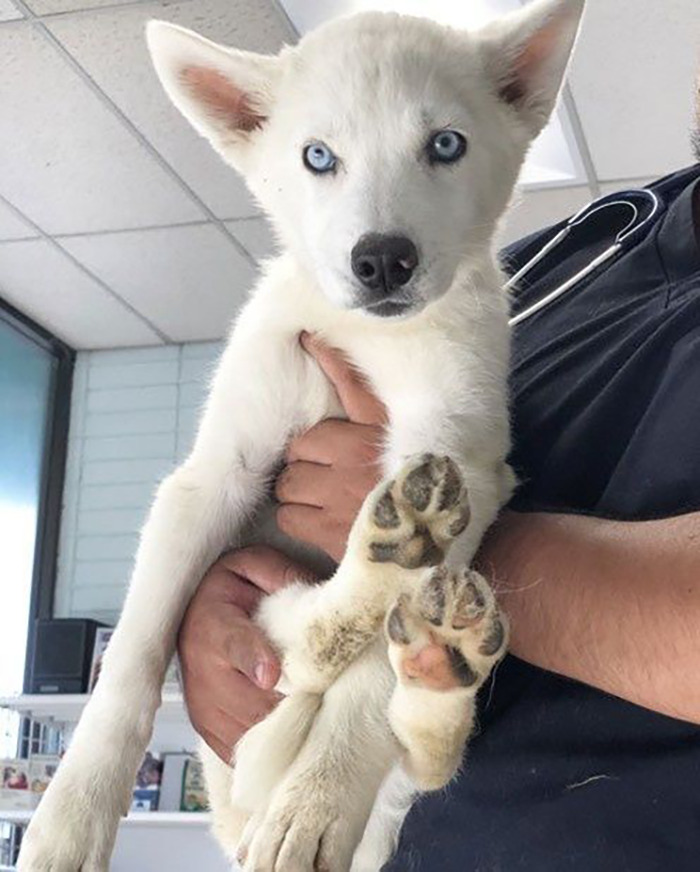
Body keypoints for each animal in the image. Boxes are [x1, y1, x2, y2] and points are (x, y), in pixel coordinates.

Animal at [16, 1, 584, 872]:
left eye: (445, 145)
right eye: (319, 157)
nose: (382, 260)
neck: (366, 335)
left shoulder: (467, 460)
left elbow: (364, 689)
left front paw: (318, 803)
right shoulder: (211, 478)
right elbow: (133, 659)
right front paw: (69, 821)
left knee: (399, 729)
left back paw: (424, 643)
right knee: (289, 663)